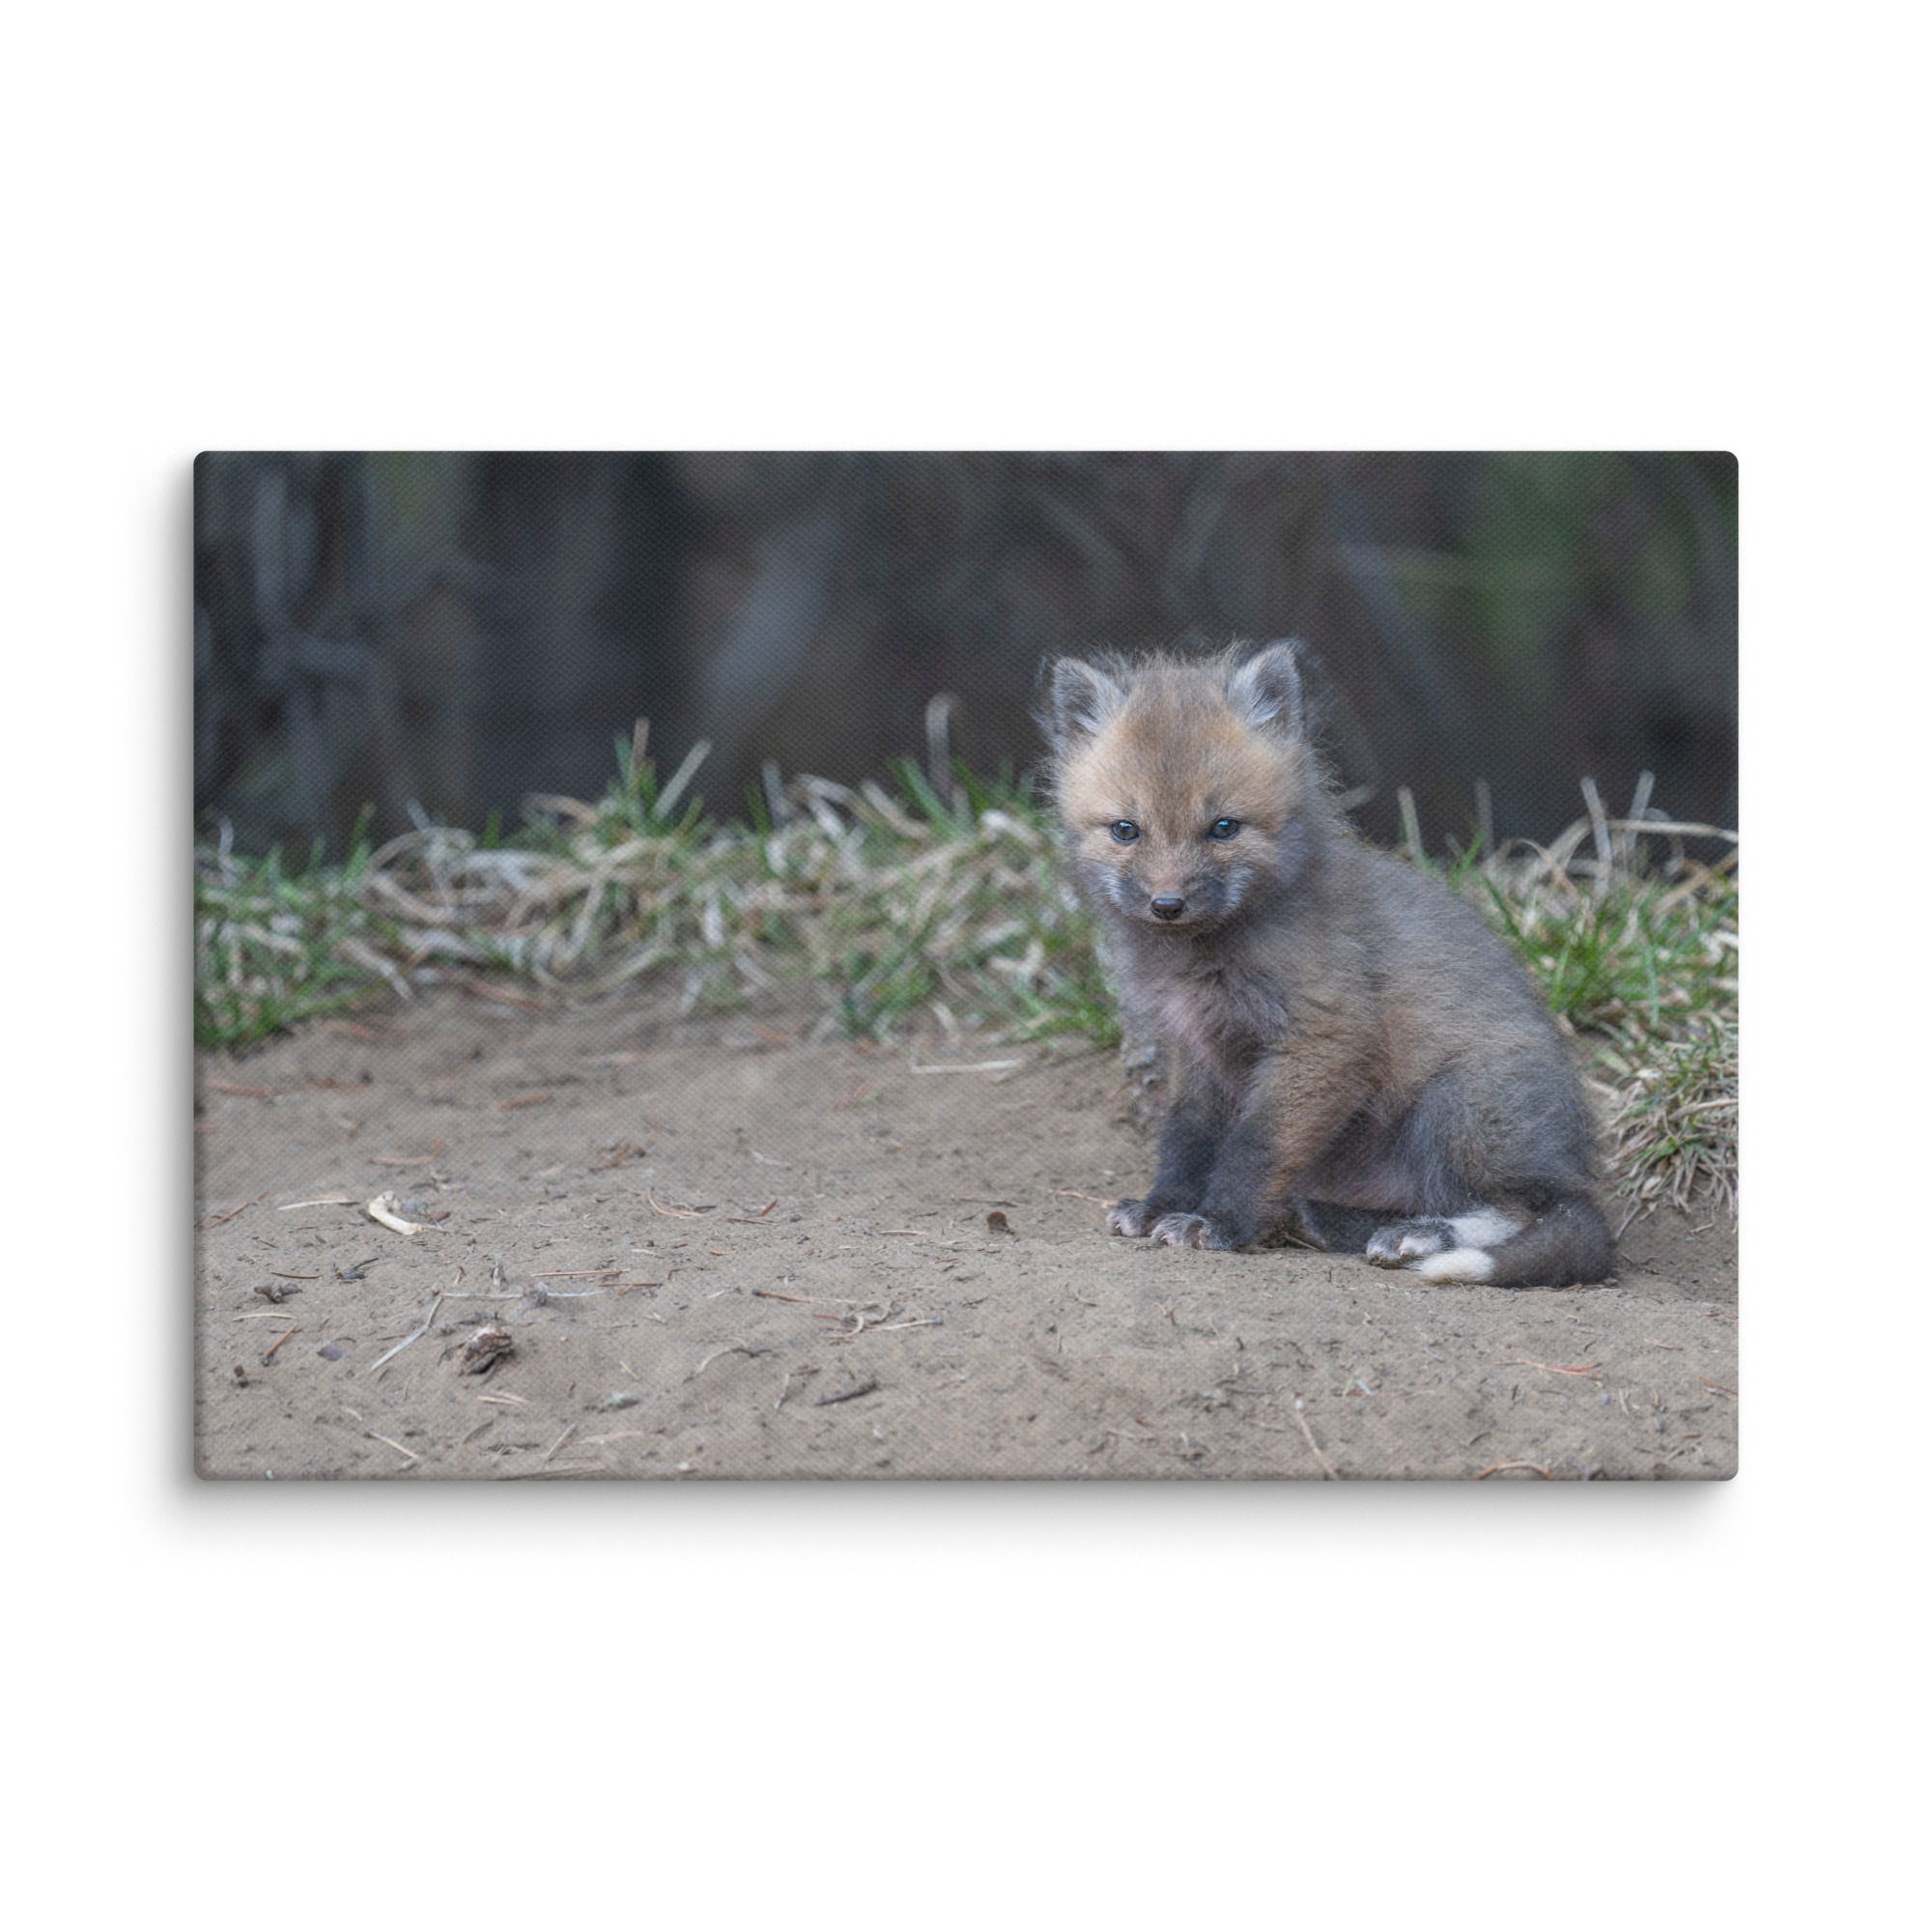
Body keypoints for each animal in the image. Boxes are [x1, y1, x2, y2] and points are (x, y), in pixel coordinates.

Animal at [1040, 641, 1615, 1288]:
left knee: (1531, 1211)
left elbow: (1254, 1145)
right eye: (1125, 830)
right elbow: (1186, 1139)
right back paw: (1330, 1221)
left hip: (1459, 1105)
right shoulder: (1198, 1048)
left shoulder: (1323, 1036)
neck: (1204, 960)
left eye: (1223, 828)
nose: (1168, 904)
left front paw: (1217, 1223)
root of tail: (1571, 1161)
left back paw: (1420, 1236)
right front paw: (1163, 1206)